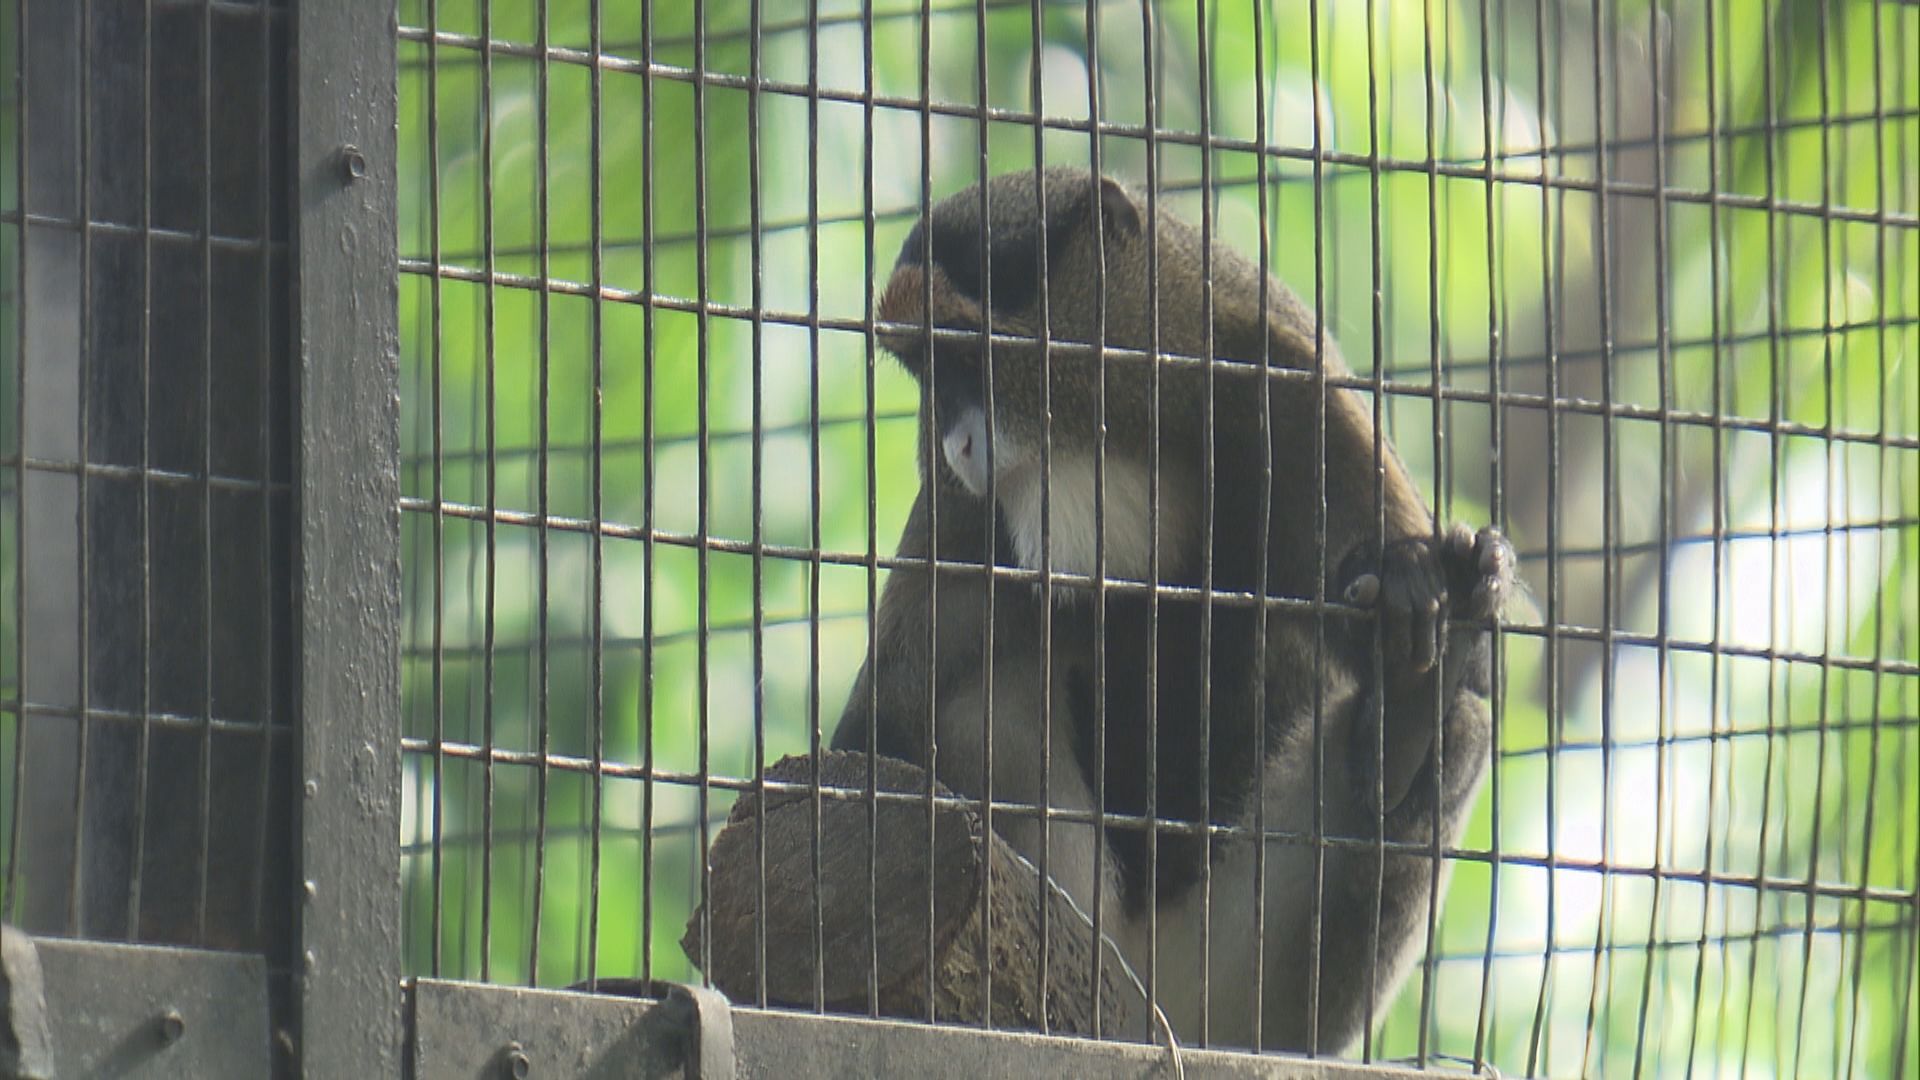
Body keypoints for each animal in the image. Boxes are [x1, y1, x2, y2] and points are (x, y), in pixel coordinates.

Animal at [833, 168, 1520, 1053]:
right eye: (925, 372)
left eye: (966, 353)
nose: (958, 443)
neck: (1133, 429)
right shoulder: (959, 513)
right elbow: (878, 718)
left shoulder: (1287, 381)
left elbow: (1470, 661)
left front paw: (1419, 617)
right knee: (972, 698)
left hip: (1235, 985)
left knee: (1459, 723)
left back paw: (1407, 712)